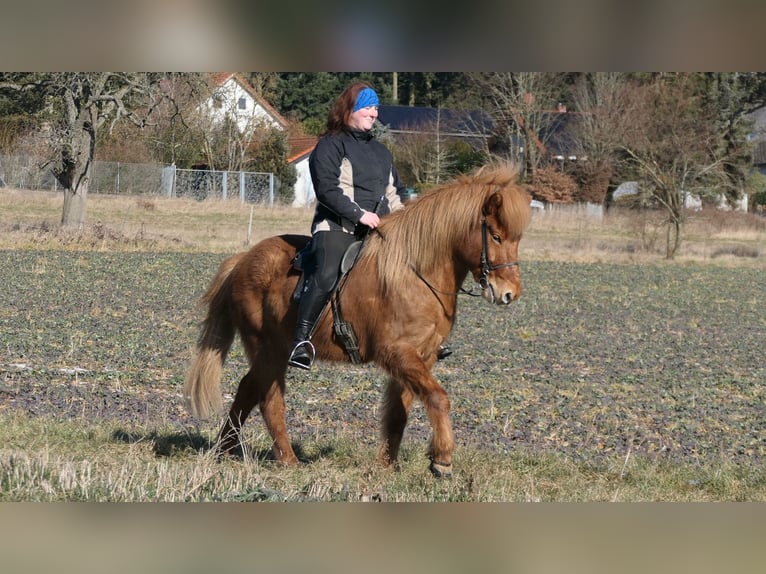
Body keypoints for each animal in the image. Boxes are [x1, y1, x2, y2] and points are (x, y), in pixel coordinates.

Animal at [184, 163, 536, 476]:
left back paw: (224, 449)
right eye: (495, 236)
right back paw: (286, 459)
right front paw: (442, 459)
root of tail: (242, 260)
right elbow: (438, 398)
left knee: (248, 389)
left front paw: (386, 466)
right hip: (267, 348)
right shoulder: (398, 354)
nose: (509, 293)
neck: (416, 274)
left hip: (270, 351)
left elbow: (398, 413)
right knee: (269, 398)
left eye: (516, 238)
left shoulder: (419, 359)